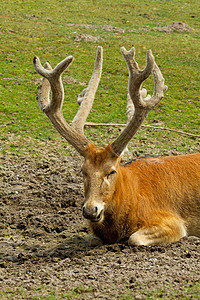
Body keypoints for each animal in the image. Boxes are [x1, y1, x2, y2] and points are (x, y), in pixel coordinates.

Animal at [33, 45, 200, 246]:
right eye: (82, 171)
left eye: (111, 171)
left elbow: (134, 238)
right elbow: (90, 239)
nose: (91, 210)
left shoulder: (173, 222)